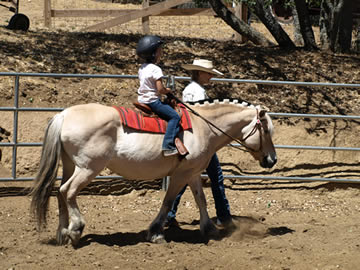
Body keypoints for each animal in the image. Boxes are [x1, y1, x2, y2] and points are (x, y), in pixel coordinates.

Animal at [29, 99, 278, 247]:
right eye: (266, 129)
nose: (272, 160)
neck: (203, 127)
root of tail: (64, 115)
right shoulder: (180, 175)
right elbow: (168, 202)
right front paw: (156, 232)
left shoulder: (192, 172)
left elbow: (201, 199)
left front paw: (209, 229)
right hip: (89, 168)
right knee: (68, 190)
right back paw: (76, 229)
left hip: (70, 165)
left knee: (60, 192)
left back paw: (62, 232)